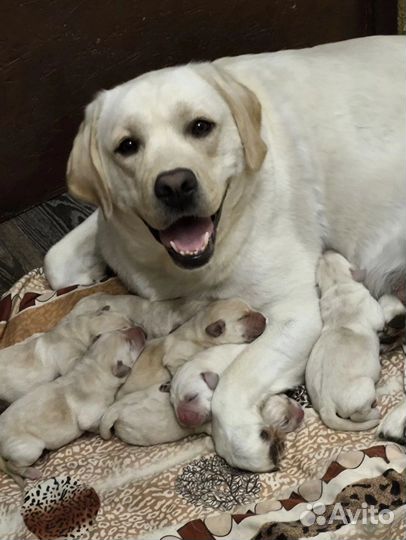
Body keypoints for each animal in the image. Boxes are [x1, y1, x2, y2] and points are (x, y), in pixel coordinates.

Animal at [0, 326, 145, 488]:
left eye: (122, 329)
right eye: (130, 344)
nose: (141, 328)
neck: (94, 367)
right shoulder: (88, 419)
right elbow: (95, 425)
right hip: (30, 448)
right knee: (12, 465)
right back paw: (31, 472)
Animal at [306, 251, 386, 432]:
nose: (326, 250)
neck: (338, 286)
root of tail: (325, 406)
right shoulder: (375, 312)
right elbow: (381, 319)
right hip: (365, 386)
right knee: (358, 416)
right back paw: (374, 412)